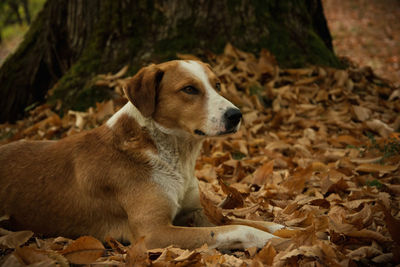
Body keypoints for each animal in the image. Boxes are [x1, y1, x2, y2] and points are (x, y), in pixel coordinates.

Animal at [0, 59, 284, 250]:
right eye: (189, 89)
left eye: (217, 85)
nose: (237, 115)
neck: (173, 155)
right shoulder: (153, 233)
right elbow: (240, 228)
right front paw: (270, 240)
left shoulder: (196, 211)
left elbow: (247, 221)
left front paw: (287, 229)